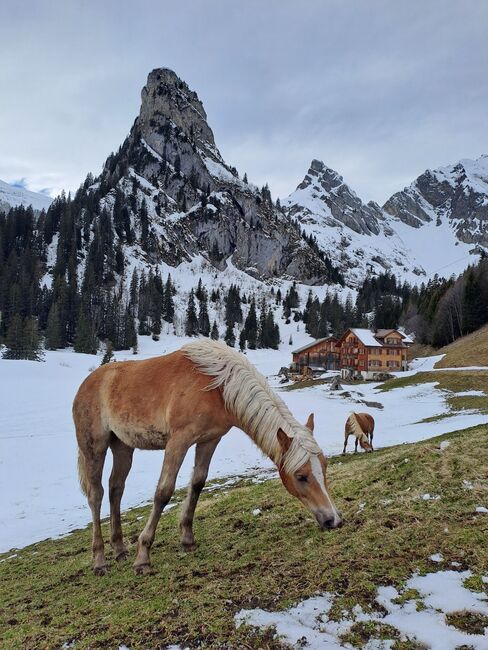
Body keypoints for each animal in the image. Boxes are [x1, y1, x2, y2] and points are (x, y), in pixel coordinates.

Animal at [72, 340, 344, 572]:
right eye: (301, 476)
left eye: (323, 469)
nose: (333, 520)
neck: (217, 386)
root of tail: (87, 384)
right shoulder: (178, 441)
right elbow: (164, 492)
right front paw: (143, 556)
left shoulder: (209, 441)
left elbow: (197, 484)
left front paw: (187, 540)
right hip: (94, 447)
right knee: (96, 495)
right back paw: (99, 561)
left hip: (123, 446)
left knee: (116, 489)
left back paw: (119, 550)